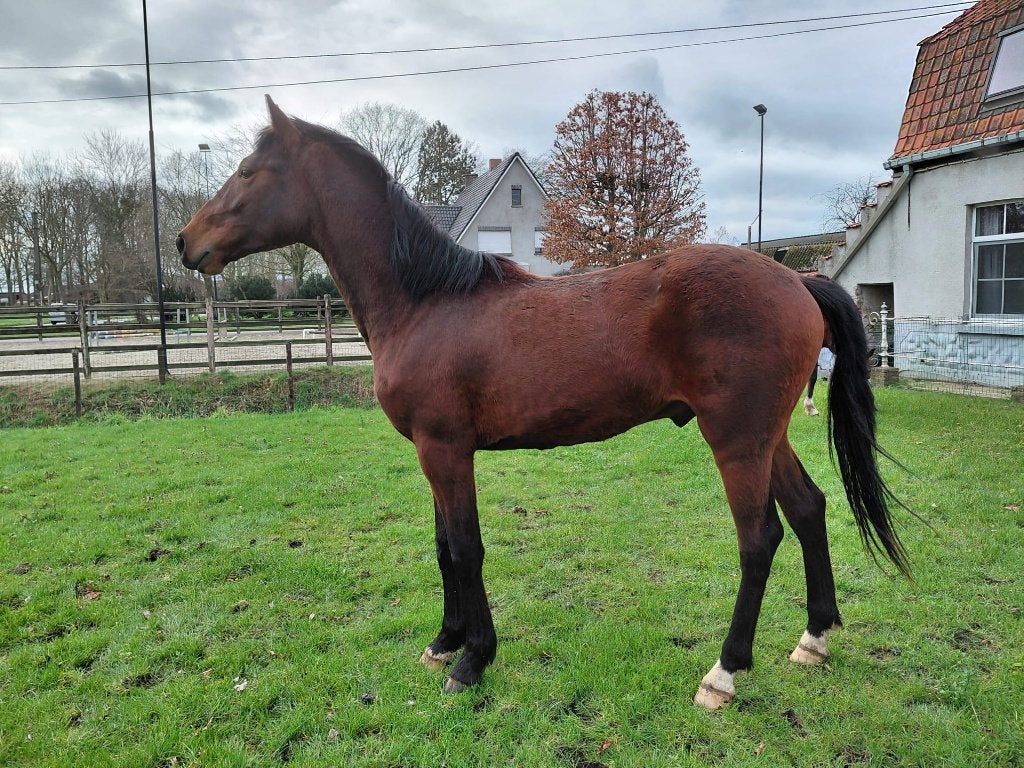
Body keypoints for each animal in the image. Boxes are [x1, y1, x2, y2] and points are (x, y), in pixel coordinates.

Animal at [177, 96, 909, 710]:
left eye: (247, 171)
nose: (187, 242)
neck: (427, 301)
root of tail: (797, 279)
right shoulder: (434, 453)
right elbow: (442, 546)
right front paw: (443, 641)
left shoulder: (446, 449)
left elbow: (466, 548)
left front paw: (472, 661)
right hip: (766, 436)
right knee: (810, 509)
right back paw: (814, 639)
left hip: (736, 440)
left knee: (760, 540)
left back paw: (723, 673)